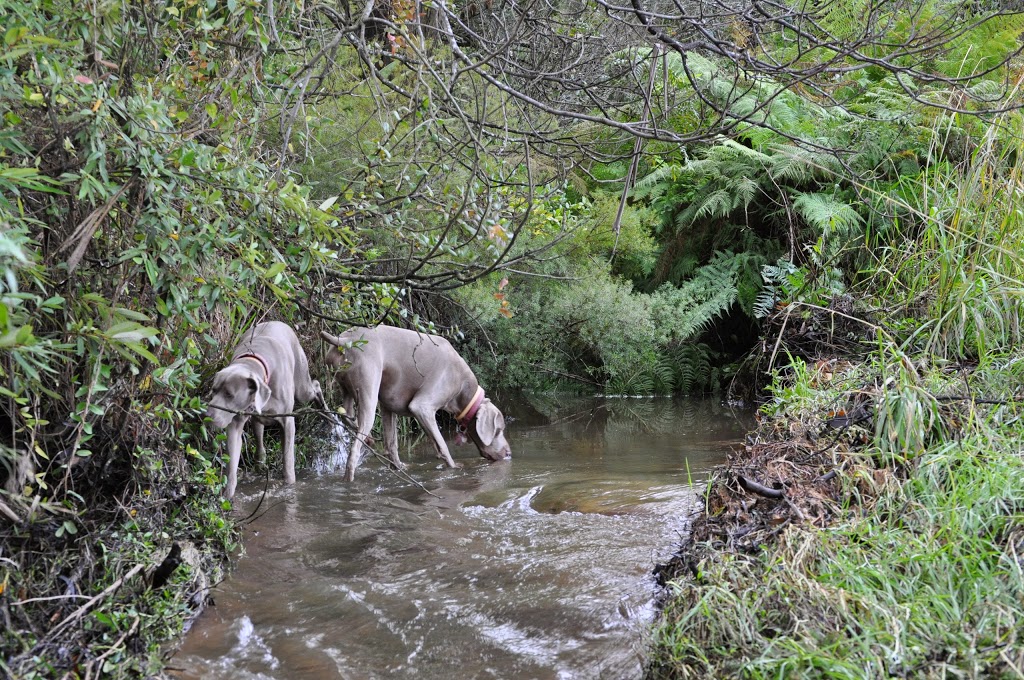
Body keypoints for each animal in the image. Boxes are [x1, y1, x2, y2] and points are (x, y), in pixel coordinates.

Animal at [204, 321, 323, 497]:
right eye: (213, 391)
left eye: (229, 395)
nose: (207, 416)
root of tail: (279, 322)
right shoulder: (235, 422)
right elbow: (232, 463)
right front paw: (227, 496)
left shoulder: (287, 421)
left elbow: (288, 460)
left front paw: (290, 485)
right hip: (258, 419)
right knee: (259, 436)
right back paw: (260, 463)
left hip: (303, 387)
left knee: (315, 385)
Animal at [319, 325, 512, 481]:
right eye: (499, 430)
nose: (509, 453)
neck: (463, 386)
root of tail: (344, 341)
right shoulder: (422, 407)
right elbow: (442, 444)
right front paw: (454, 468)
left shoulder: (388, 406)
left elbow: (392, 444)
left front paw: (399, 467)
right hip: (368, 390)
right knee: (354, 450)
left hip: (346, 385)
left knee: (346, 413)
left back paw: (369, 439)